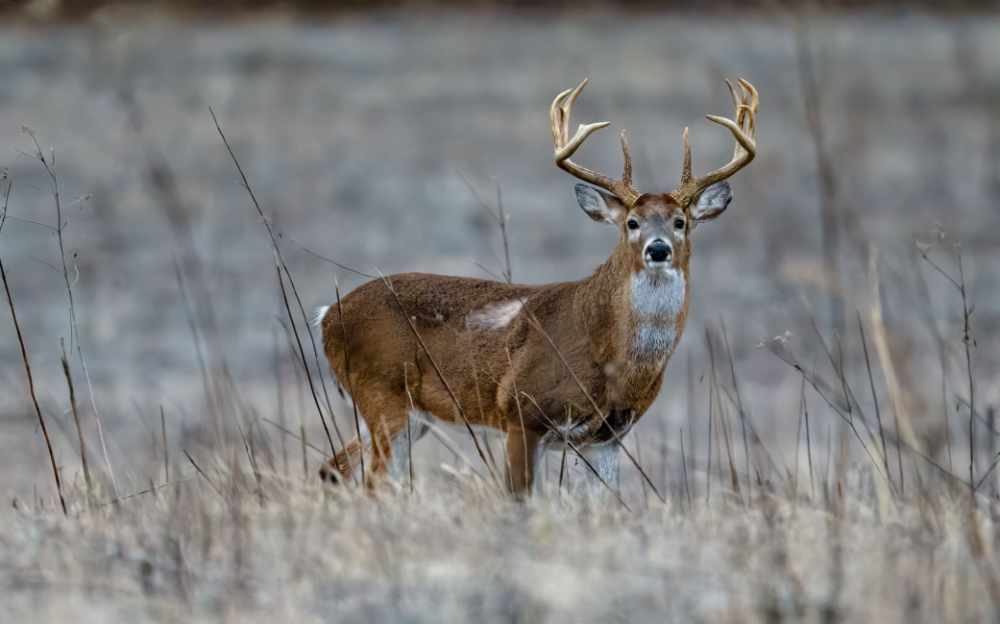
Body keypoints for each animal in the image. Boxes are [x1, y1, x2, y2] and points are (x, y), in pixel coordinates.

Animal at [316, 77, 758, 497]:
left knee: (333, 468)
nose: (659, 248)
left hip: (404, 412)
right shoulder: (521, 410)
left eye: (681, 221)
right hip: (383, 394)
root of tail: (326, 316)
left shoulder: (606, 438)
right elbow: (519, 498)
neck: (610, 355)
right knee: (373, 483)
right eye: (632, 222)